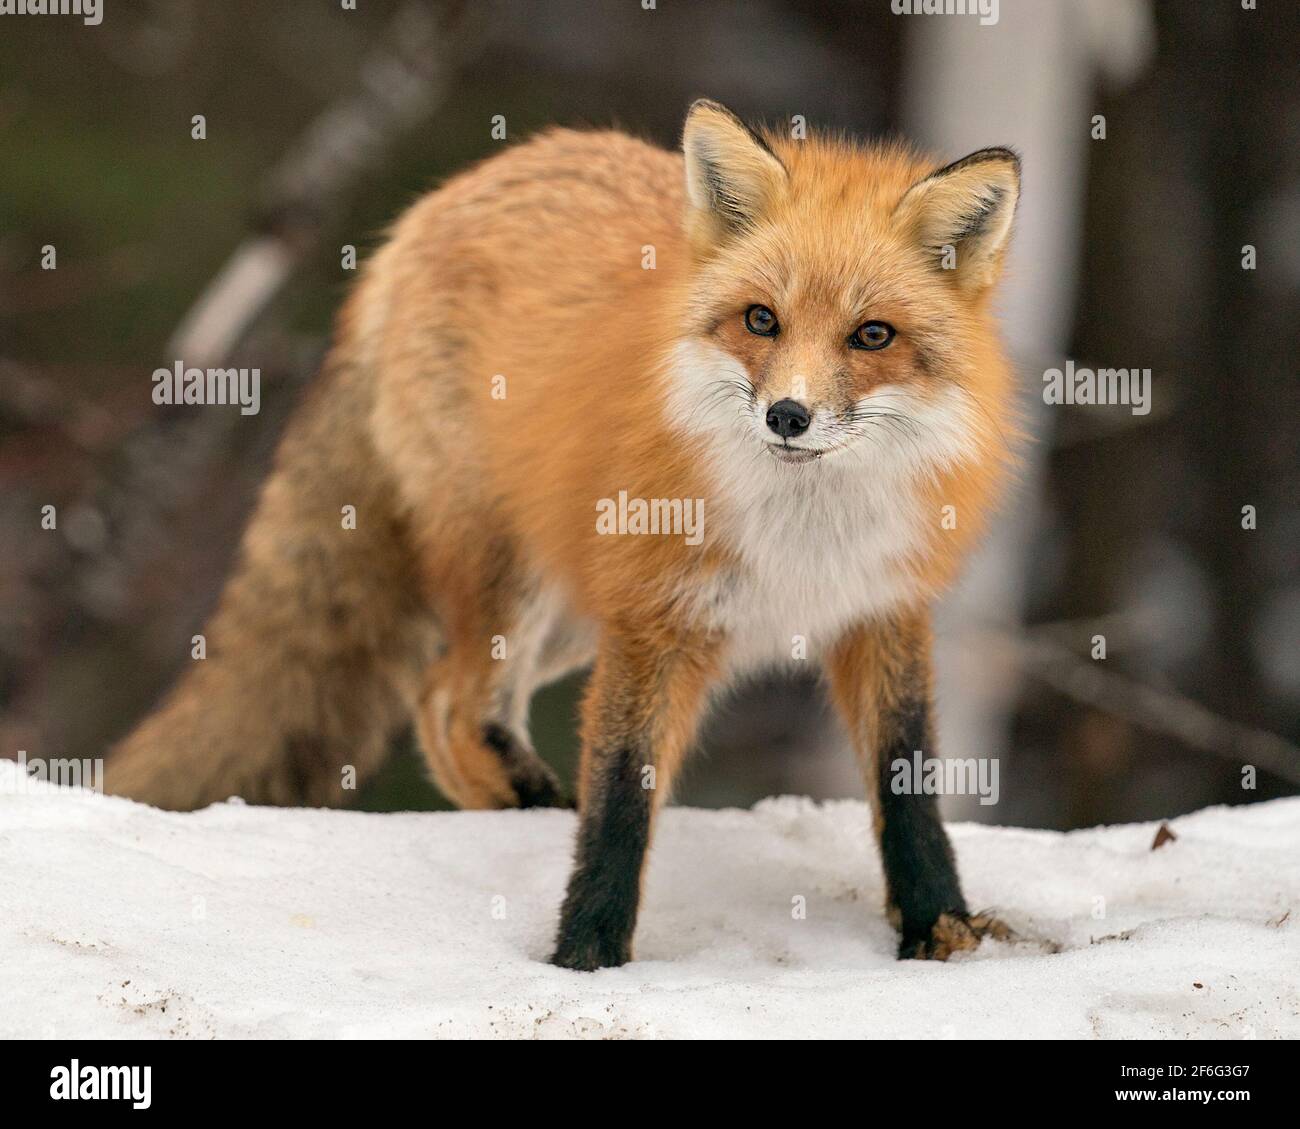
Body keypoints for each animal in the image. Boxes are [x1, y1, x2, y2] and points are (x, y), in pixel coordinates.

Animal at [108, 100, 1022, 970]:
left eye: (873, 335)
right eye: (762, 320)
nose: (788, 415)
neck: (804, 529)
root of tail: (434, 208)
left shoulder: (882, 611)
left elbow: (908, 785)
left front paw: (940, 928)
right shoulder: (653, 617)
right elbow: (619, 798)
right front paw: (586, 954)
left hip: (572, 612)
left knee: (435, 698)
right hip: (517, 571)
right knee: (457, 703)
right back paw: (536, 809)